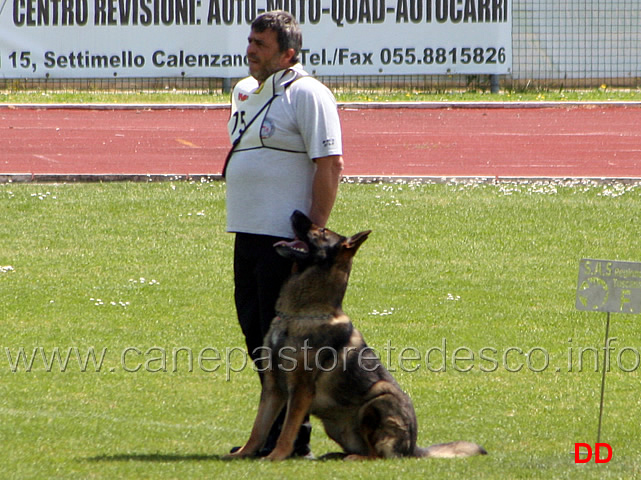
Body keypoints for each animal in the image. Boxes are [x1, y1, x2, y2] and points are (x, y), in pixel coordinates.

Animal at [225, 211, 484, 462]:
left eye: (322, 230)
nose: (296, 211)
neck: (299, 314)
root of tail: (413, 448)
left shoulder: (300, 390)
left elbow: (287, 430)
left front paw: (275, 456)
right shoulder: (272, 387)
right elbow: (259, 428)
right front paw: (244, 453)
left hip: (377, 400)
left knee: (378, 456)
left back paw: (354, 458)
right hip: (334, 425)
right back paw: (337, 454)